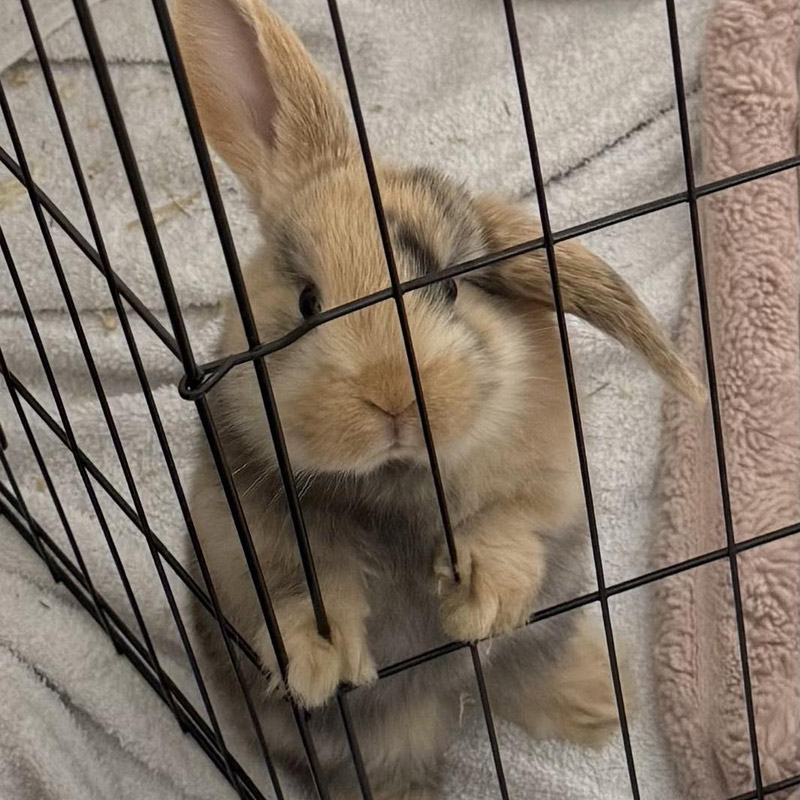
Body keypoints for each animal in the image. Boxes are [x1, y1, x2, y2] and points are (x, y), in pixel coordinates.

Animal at [174, 0, 702, 797]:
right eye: (306, 303)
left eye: (449, 289)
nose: (391, 397)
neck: (399, 479)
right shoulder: (243, 525)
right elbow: (302, 585)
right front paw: (321, 664)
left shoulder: (544, 483)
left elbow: (510, 527)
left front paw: (474, 600)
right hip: (384, 742)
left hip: (551, 616)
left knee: (528, 666)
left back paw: (600, 705)